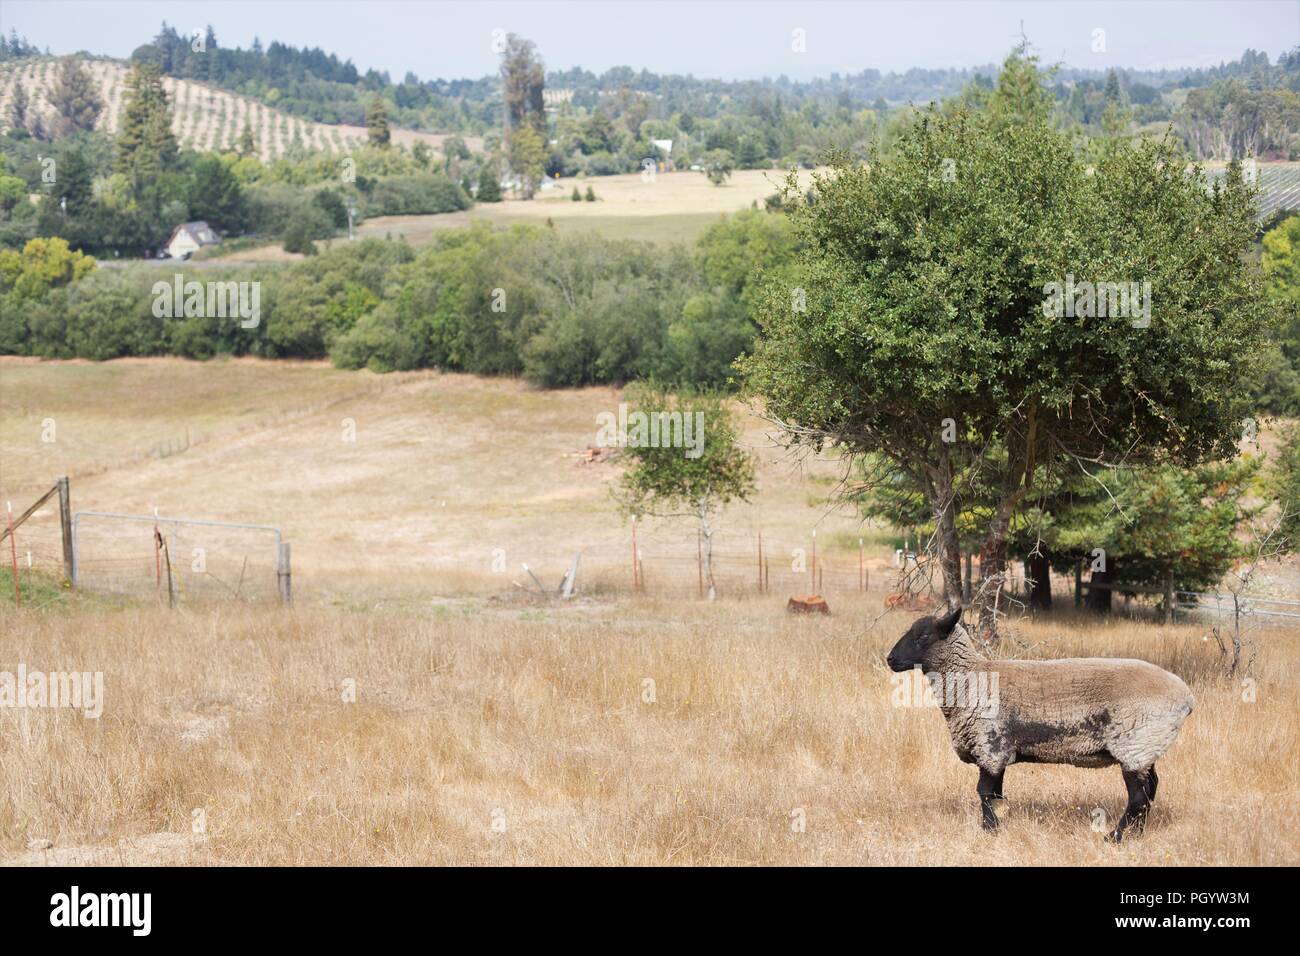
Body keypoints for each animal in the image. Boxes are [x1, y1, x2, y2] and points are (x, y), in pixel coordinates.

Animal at [885, 606, 1195, 841]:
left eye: (924, 635)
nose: (890, 659)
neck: (970, 680)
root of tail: (1186, 696)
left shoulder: (990, 746)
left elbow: (985, 793)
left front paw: (989, 832)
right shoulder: (999, 752)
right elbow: (996, 794)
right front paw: (996, 828)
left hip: (1135, 745)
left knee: (1138, 798)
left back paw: (1115, 838)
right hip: (1147, 746)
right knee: (1150, 790)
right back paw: (1136, 836)